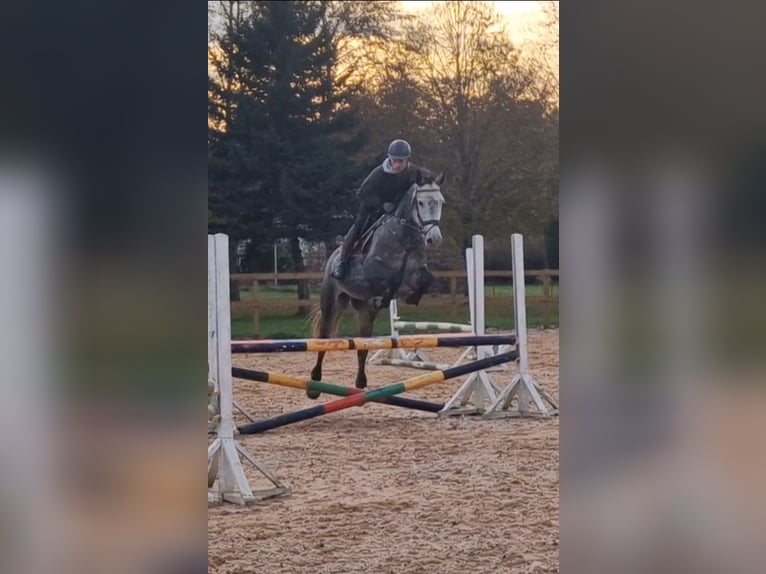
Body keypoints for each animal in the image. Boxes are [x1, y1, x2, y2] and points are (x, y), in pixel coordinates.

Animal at [308, 173, 448, 394]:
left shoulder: (416, 271)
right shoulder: (372, 271)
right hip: (332, 302)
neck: (404, 233)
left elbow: (425, 278)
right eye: (421, 202)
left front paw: (413, 297)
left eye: (441, 202)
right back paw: (315, 381)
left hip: (364, 313)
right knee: (324, 338)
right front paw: (386, 297)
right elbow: (391, 279)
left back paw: (361, 382)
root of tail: (331, 257)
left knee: (362, 345)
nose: (434, 238)